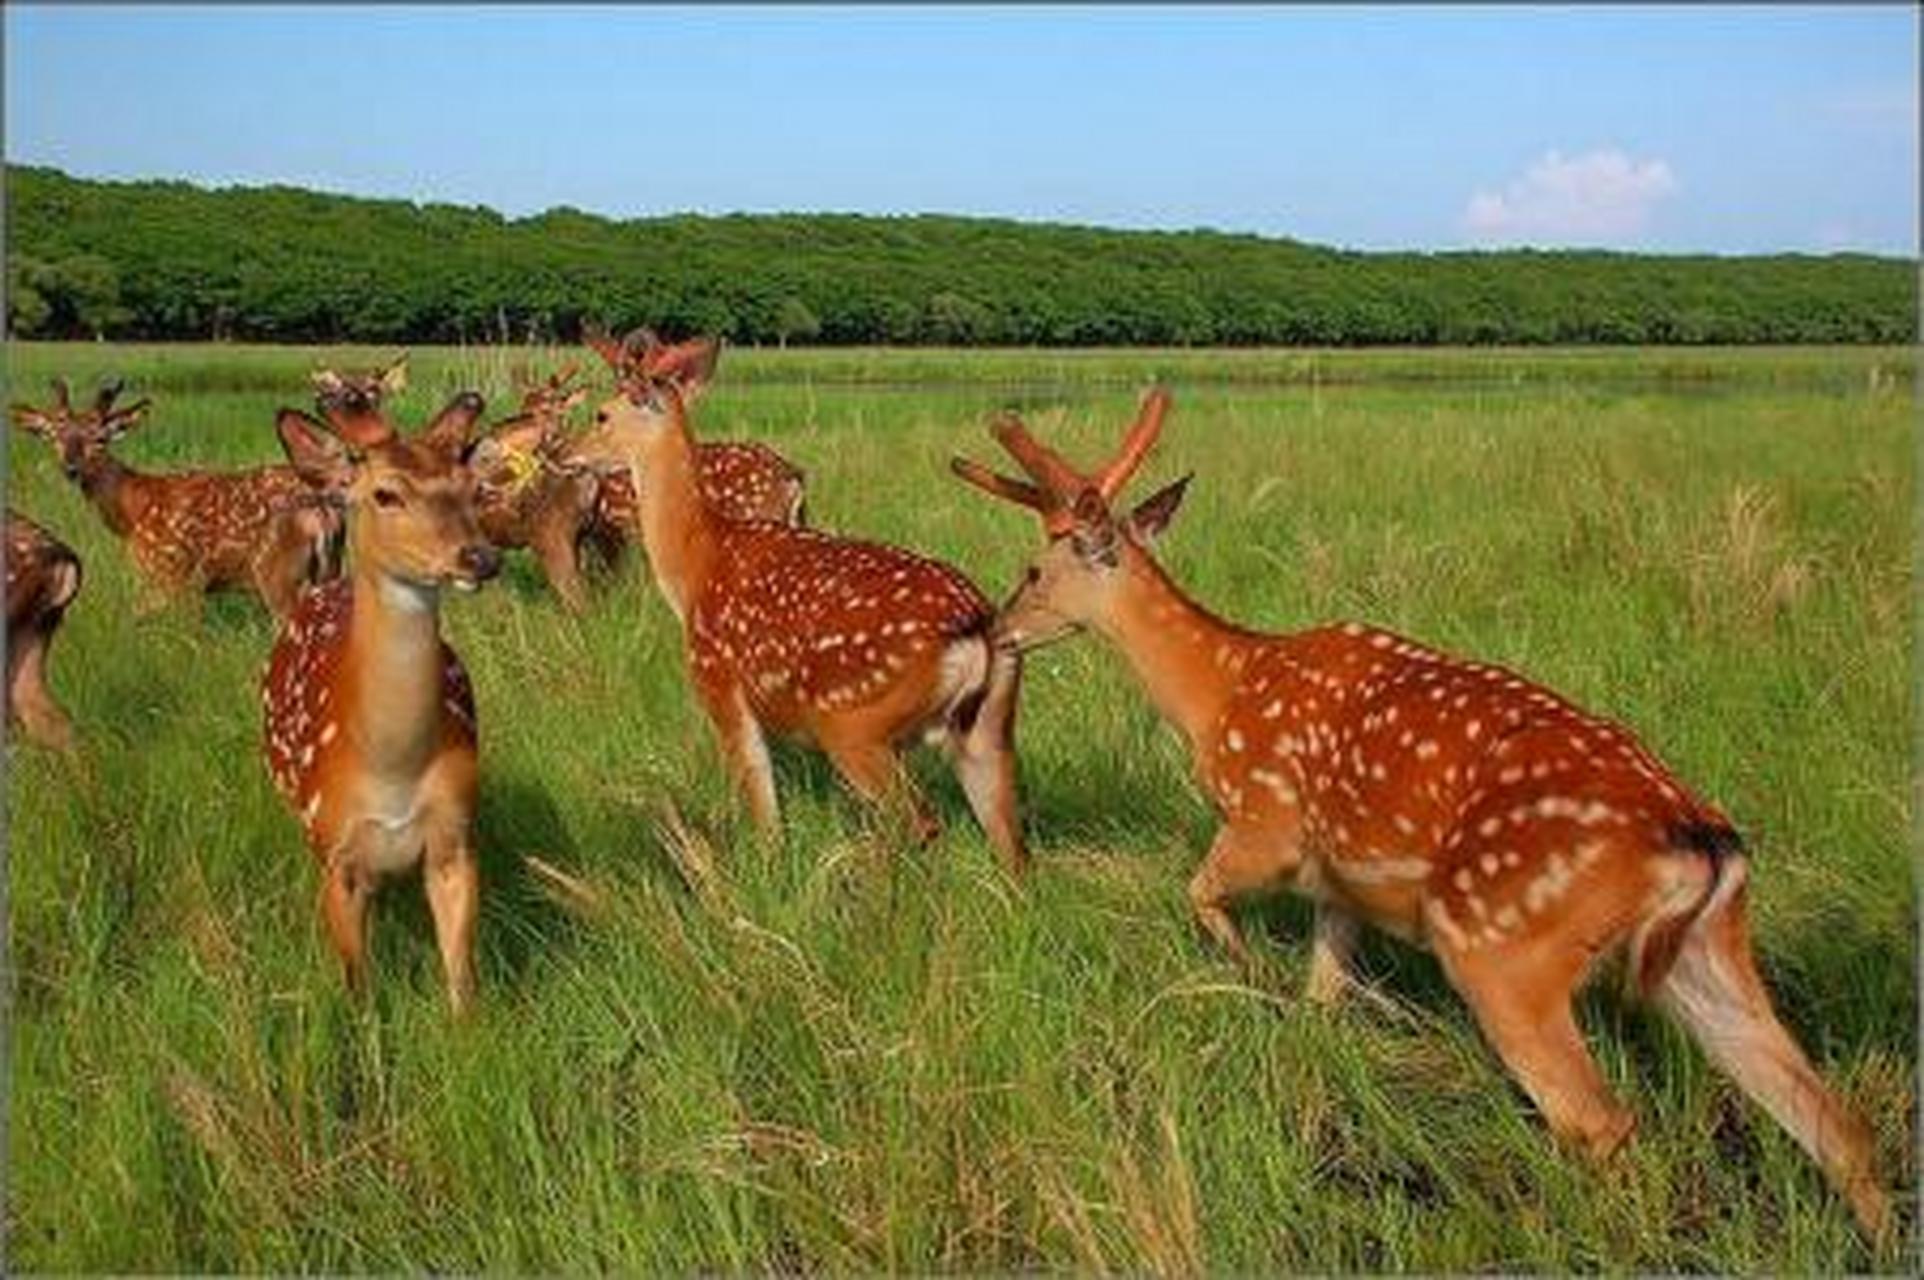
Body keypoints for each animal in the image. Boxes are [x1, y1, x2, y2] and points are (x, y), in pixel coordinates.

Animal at [10, 379, 342, 618]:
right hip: (331, 569)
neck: (132, 513)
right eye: (54, 436)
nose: (71, 468)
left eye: (100, 439)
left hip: (278, 573)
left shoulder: (174, 574)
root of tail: (323, 511)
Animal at [262, 386, 501, 1015]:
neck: (391, 766)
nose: (480, 558)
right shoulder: (336, 851)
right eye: (385, 493)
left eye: (471, 488)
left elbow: (462, 978)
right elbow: (357, 985)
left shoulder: (454, 836)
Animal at [569, 332, 1026, 872]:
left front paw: (766, 871)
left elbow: (763, 806)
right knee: (1012, 843)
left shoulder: (719, 683)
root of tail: (974, 627)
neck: (696, 566)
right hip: (989, 727)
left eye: (600, 414)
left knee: (919, 820)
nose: (566, 453)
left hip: (854, 721)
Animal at [950, 389, 1891, 1242]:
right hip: (1707, 952)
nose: (998, 630)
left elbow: (1199, 894)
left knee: (1602, 1123)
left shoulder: (1266, 820)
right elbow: (1323, 992)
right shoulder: (1340, 883)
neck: (1218, 695)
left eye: (1034, 570)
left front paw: (1243, 971)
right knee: (1832, 1121)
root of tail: (1697, 838)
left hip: (1504, 947)